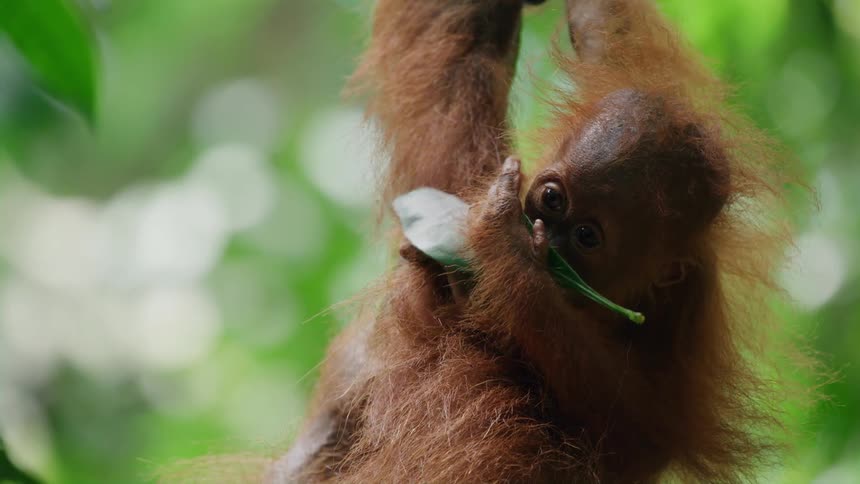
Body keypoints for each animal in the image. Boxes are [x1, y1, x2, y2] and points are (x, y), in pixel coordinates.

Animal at [265, 0, 806, 482]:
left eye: (586, 236)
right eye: (551, 198)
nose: (545, 238)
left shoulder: (684, 313)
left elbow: (635, 428)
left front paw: (505, 249)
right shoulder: (623, 79)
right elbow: (603, 32)